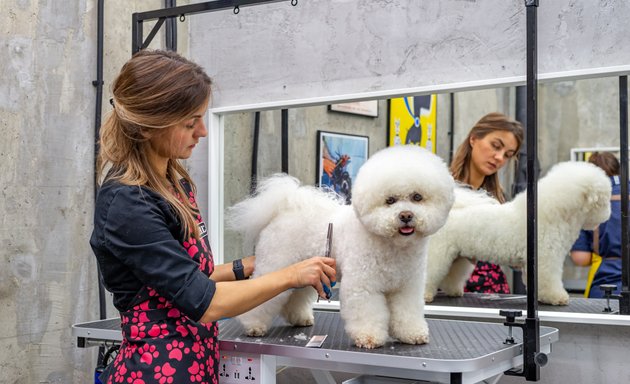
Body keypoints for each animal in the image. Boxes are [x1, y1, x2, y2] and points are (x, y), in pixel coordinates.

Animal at [227, 146, 454, 350]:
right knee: (260, 294)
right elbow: (367, 312)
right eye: (390, 200)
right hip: (275, 263)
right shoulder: (363, 285)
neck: (392, 246)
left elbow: (407, 312)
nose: (406, 215)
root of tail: (284, 209)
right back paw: (254, 326)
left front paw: (412, 334)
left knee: (296, 296)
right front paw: (369, 337)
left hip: (303, 269)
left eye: (417, 197)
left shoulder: (407, 287)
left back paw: (299, 318)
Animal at [424, 160, 612, 304]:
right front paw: (556, 298)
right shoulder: (546, 259)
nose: (608, 215)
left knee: (452, 275)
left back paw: (454, 291)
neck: (553, 213)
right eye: (604, 200)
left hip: (458, 257)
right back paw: (425, 296)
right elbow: (549, 281)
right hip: (438, 254)